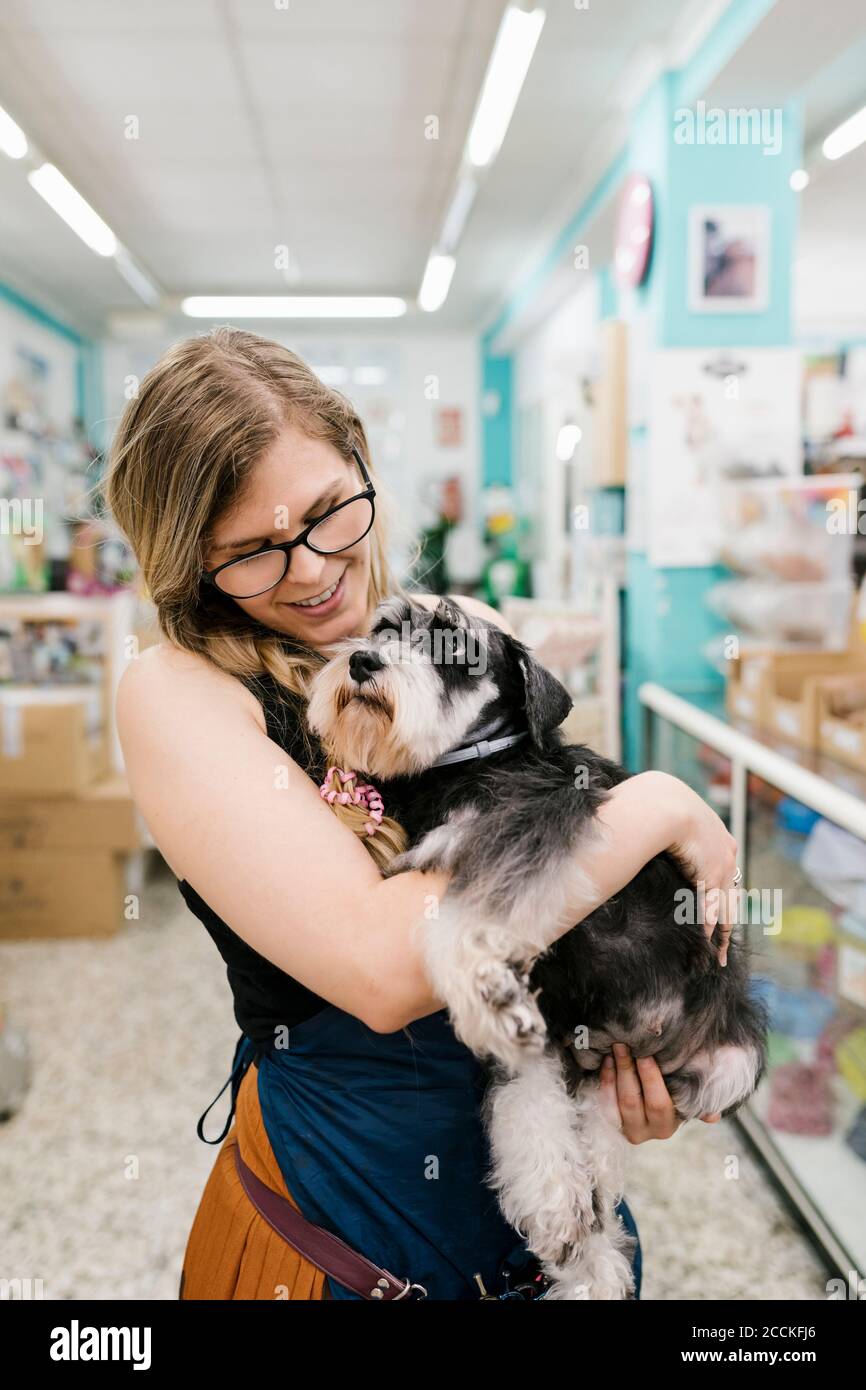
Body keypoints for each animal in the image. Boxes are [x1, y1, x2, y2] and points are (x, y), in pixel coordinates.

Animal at [308, 597, 767, 1301]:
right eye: (385, 627)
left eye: (457, 649)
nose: (362, 661)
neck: (465, 766)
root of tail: (622, 1040)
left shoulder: (531, 830)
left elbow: (467, 914)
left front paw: (482, 979)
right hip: (549, 1047)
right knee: (542, 1118)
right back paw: (573, 1228)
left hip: (729, 1068)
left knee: (597, 1126)